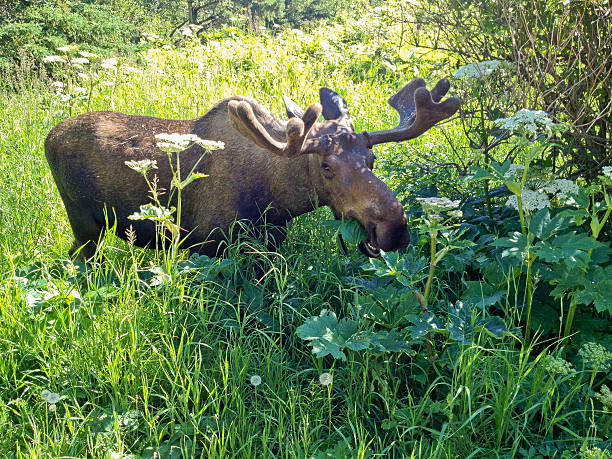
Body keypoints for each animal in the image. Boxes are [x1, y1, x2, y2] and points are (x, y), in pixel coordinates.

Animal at [44, 77, 460, 260]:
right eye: (325, 166)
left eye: (372, 160)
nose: (394, 229)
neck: (276, 200)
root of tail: (47, 137)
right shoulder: (206, 244)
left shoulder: (271, 242)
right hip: (84, 223)